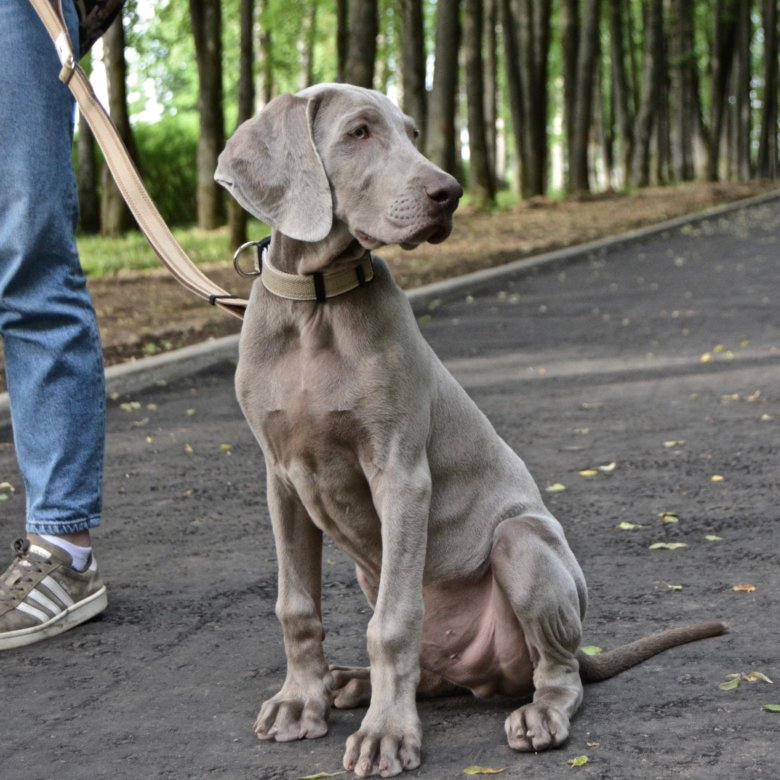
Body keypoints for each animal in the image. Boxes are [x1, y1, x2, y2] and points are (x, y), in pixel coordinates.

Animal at [215, 82, 724, 776]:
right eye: (359, 132)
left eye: (412, 132)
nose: (449, 192)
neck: (317, 305)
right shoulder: (281, 479)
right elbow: (296, 605)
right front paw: (300, 702)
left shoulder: (400, 473)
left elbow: (393, 623)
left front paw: (386, 734)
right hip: (375, 574)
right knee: (433, 670)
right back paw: (351, 683)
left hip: (522, 543)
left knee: (557, 673)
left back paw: (536, 715)